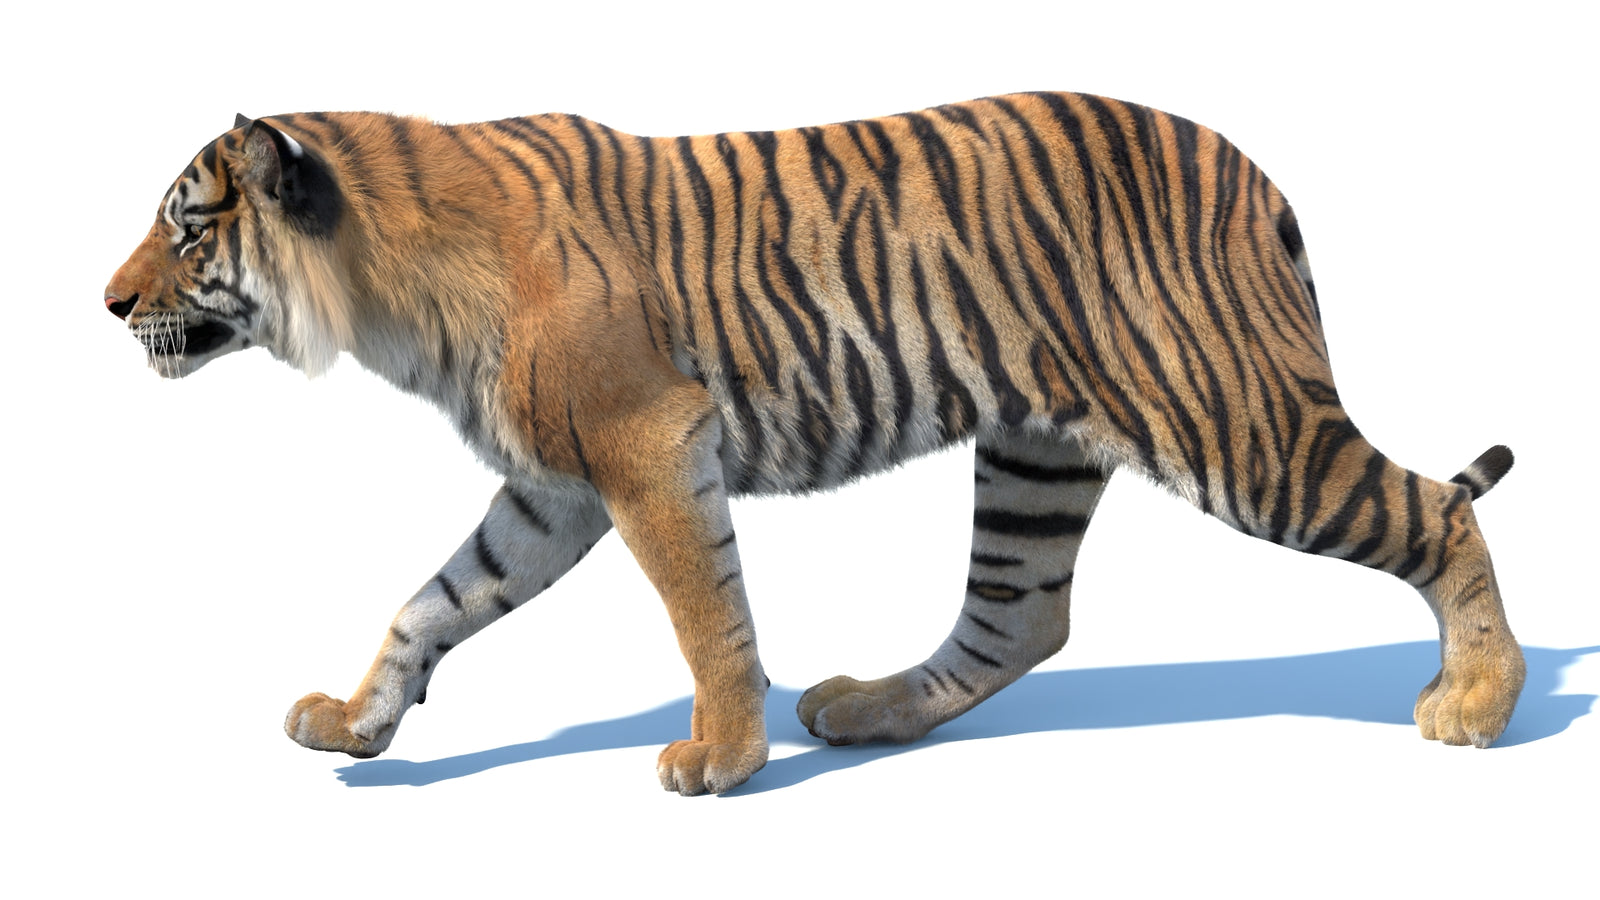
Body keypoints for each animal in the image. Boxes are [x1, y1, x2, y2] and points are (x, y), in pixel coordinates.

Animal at [105, 93, 1524, 795]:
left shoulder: (645, 443)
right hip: (1035, 449)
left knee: (1437, 511)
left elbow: (705, 609)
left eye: (186, 228)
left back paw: (1475, 705)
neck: (383, 288)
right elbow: (435, 600)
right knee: (1021, 617)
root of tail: (1252, 169)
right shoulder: (554, 487)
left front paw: (721, 761)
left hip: (1239, 422)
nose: (107, 304)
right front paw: (354, 726)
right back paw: (863, 709)